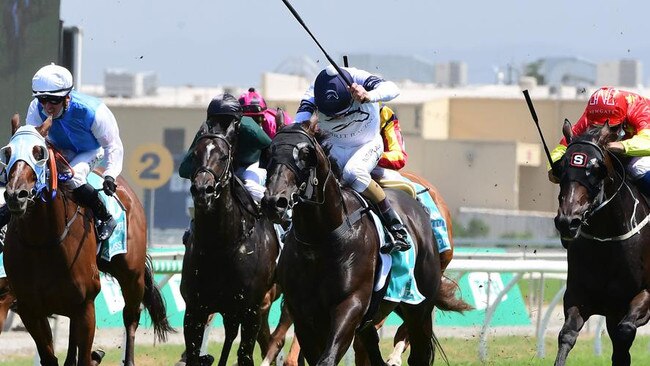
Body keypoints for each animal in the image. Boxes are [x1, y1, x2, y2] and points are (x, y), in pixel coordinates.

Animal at [3, 115, 170, 366]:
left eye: (39, 152)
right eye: (7, 152)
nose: (16, 195)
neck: (42, 241)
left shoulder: (85, 305)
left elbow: (83, 355)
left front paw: (94, 354)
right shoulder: (29, 308)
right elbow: (50, 357)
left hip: (132, 275)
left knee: (131, 317)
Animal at [180, 119, 278, 366]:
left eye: (224, 156)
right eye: (194, 155)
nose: (202, 190)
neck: (220, 246)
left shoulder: (251, 310)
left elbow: (244, 356)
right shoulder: (196, 308)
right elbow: (194, 354)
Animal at [258, 120, 466, 366]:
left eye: (305, 155)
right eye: (269, 152)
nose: (274, 201)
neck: (319, 239)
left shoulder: (351, 305)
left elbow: (327, 358)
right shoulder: (303, 316)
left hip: (419, 305)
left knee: (418, 352)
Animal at [548, 118, 648, 364]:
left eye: (596, 169)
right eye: (561, 167)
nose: (568, 221)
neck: (608, 238)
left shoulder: (644, 296)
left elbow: (626, 331)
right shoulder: (579, 295)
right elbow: (567, 334)